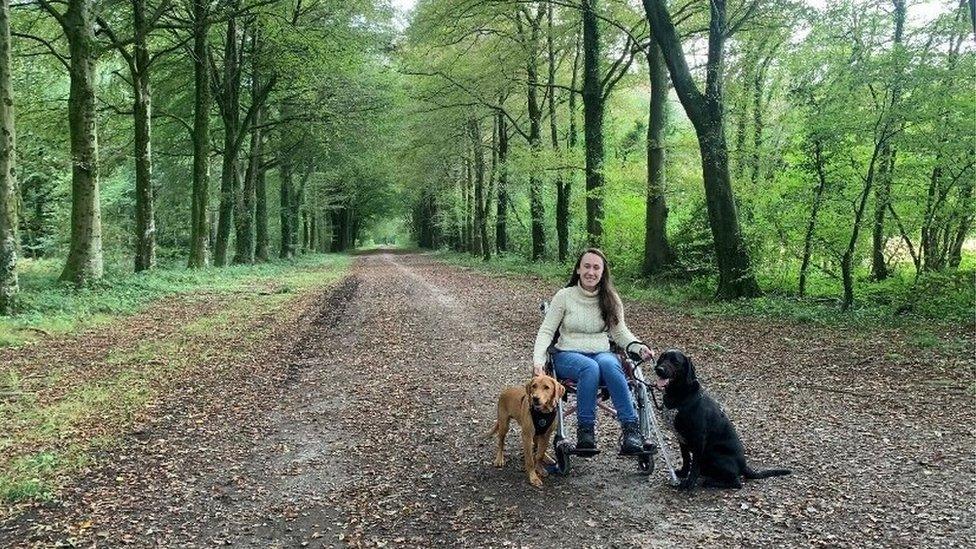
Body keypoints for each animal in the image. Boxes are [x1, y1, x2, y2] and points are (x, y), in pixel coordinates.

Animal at [652, 348, 788, 490]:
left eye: (676, 361)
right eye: (662, 358)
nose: (658, 369)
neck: (679, 394)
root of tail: (744, 466)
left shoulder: (699, 439)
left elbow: (694, 464)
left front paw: (689, 484)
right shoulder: (681, 438)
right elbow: (686, 458)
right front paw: (683, 473)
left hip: (713, 455)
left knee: (736, 483)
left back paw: (709, 482)